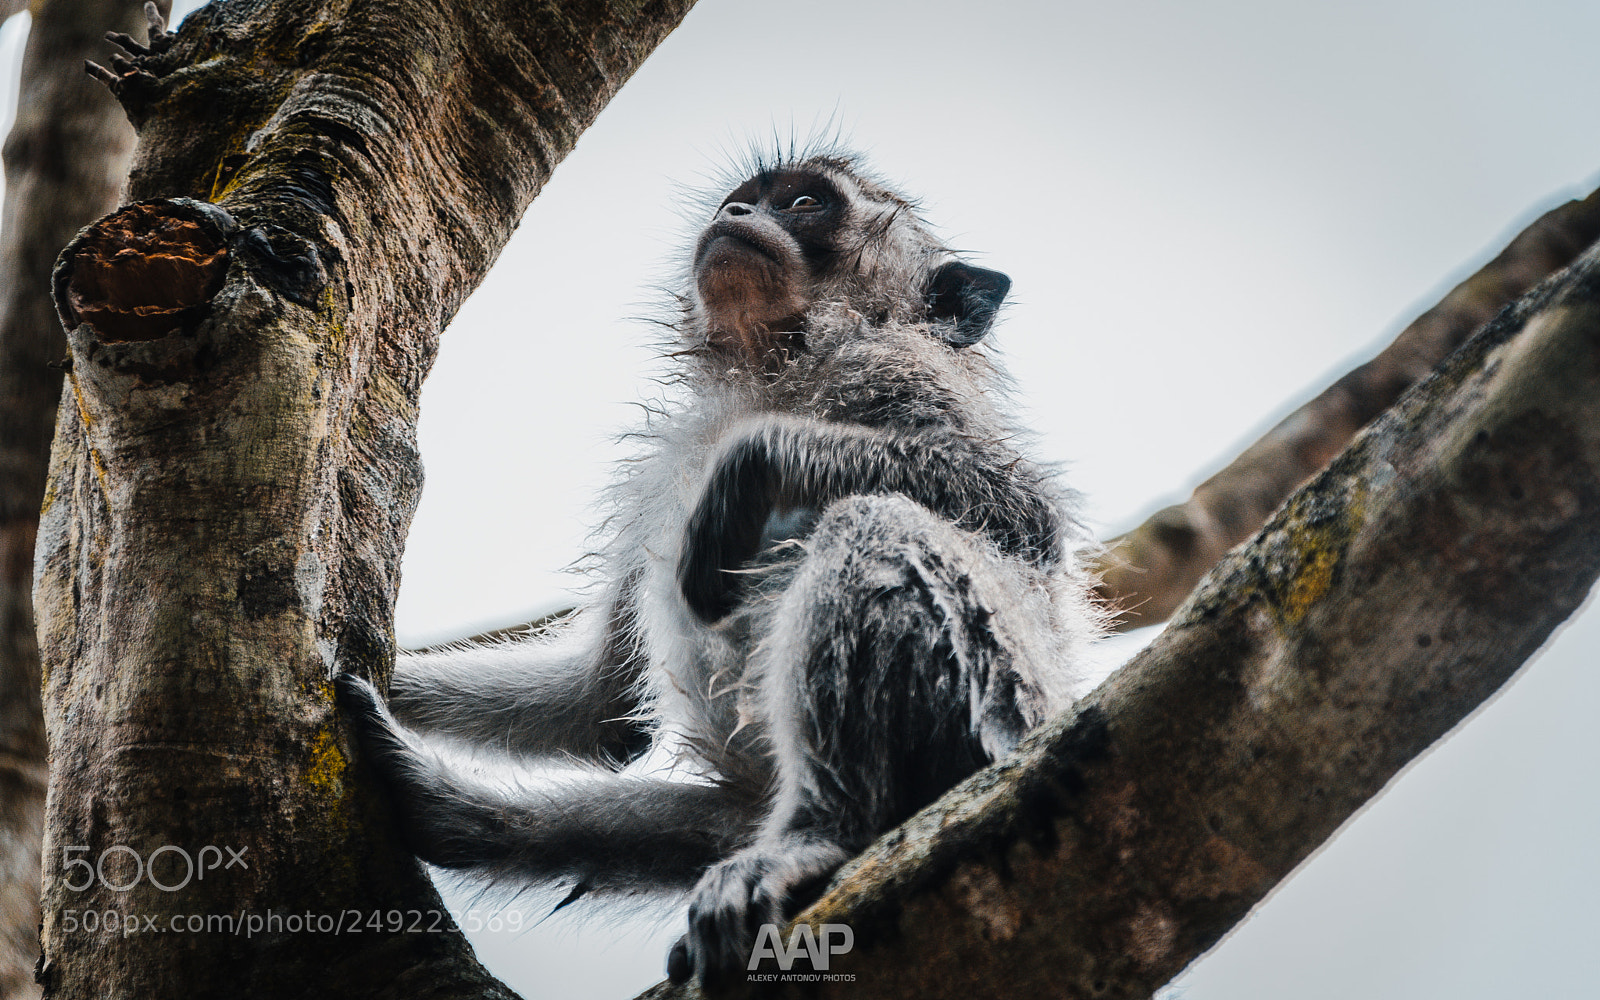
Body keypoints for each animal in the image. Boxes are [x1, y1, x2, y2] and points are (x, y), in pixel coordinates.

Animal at [336, 148, 1102, 988]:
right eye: (744, 201)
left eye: (803, 203)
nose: (736, 218)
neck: (774, 369)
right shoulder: (655, 480)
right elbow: (601, 710)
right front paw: (385, 677)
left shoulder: (897, 368)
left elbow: (1024, 518)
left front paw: (750, 463)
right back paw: (462, 818)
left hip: (997, 713)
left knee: (871, 524)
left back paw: (823, 833)